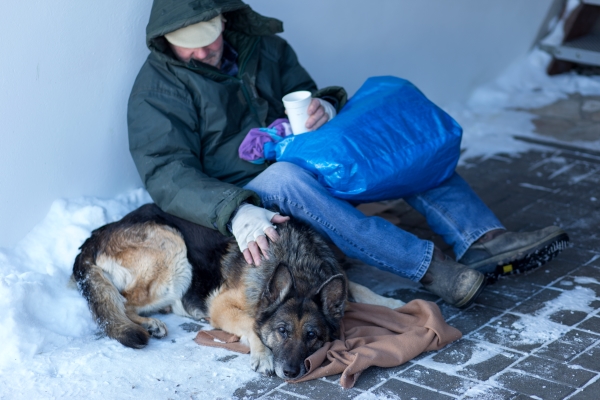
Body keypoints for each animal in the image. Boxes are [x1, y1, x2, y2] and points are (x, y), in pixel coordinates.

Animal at [72, 203, 406, 378]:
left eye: (312, 336)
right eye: (282, 331)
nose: (291, 372)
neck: (297, 265)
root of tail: (95, 235)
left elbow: (357, 286)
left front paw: (391, 304)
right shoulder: (220, 305)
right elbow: (250, 323)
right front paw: (263, 355)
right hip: (174, 250)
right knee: (124, 303)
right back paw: (151, 324)